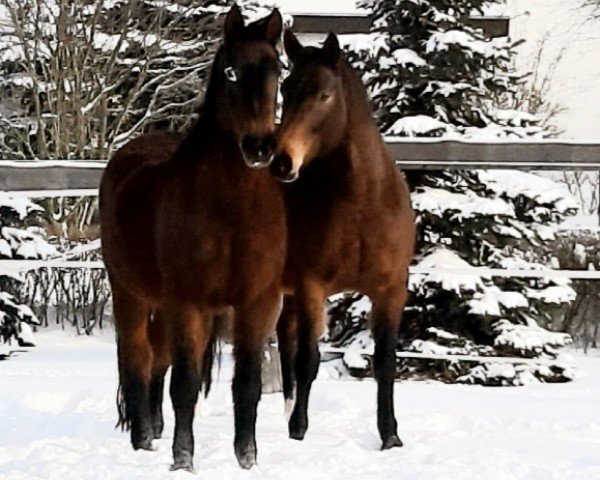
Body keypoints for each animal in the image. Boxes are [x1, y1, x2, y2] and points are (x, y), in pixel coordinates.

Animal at [99, 6, 286, 472]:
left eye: (277, 69)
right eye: (232, 72)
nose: (259, 147)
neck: (233, 215)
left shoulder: (258, 304)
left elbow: (248, 385)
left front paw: (247, 460)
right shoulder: (190, 304)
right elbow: (183, 385)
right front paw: (183, 461)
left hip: (162, 307)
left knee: (156, 360)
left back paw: (153, 429)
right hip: (129, 294)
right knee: (138, 359)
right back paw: (143, 440)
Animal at [270, 31, 414, 452]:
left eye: (325, 95)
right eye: (287, 88)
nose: (282, 161)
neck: (361, 204)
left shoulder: (390, 289)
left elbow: (385, 362)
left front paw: (390, 436)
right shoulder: (311, 286)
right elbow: (309, 360)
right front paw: (298, 431)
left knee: (283, 337)